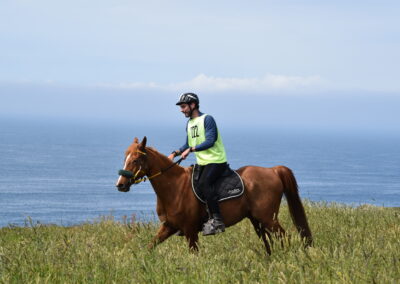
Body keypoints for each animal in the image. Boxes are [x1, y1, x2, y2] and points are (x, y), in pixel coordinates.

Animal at [115, 136, 312, 254]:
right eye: (125, 158)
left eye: (135, 160)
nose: (120, 184)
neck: (174, 188)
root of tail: (273, 170)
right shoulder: (169, 227)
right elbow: (149, 246)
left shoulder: (190, 231)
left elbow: (194, 255)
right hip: (257, 220)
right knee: (269, 241)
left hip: (268, 218)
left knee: (284, 237)